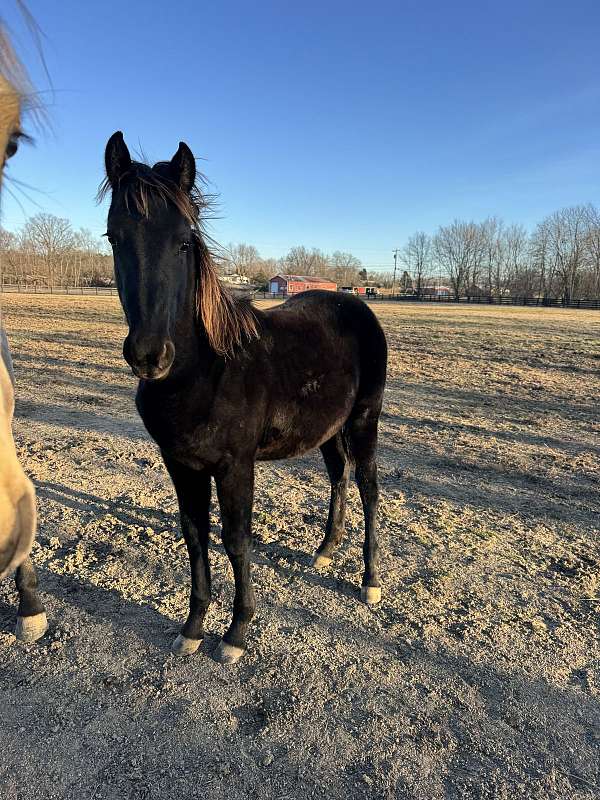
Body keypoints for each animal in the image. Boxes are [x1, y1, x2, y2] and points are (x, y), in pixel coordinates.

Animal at [101, 131, 387, 664]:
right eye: (114, 237)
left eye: (185, 240)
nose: (149, 355)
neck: (205, 372)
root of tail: (355, 301)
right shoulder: (181, 464)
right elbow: (195, 536)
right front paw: (192, 628)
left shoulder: (236, 466)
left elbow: (236, 540)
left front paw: (236, 632)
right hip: (328, 429)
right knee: (338, 476)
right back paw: (325, 551)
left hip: (364, 420)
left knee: (368, 487)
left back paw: (370, 581)